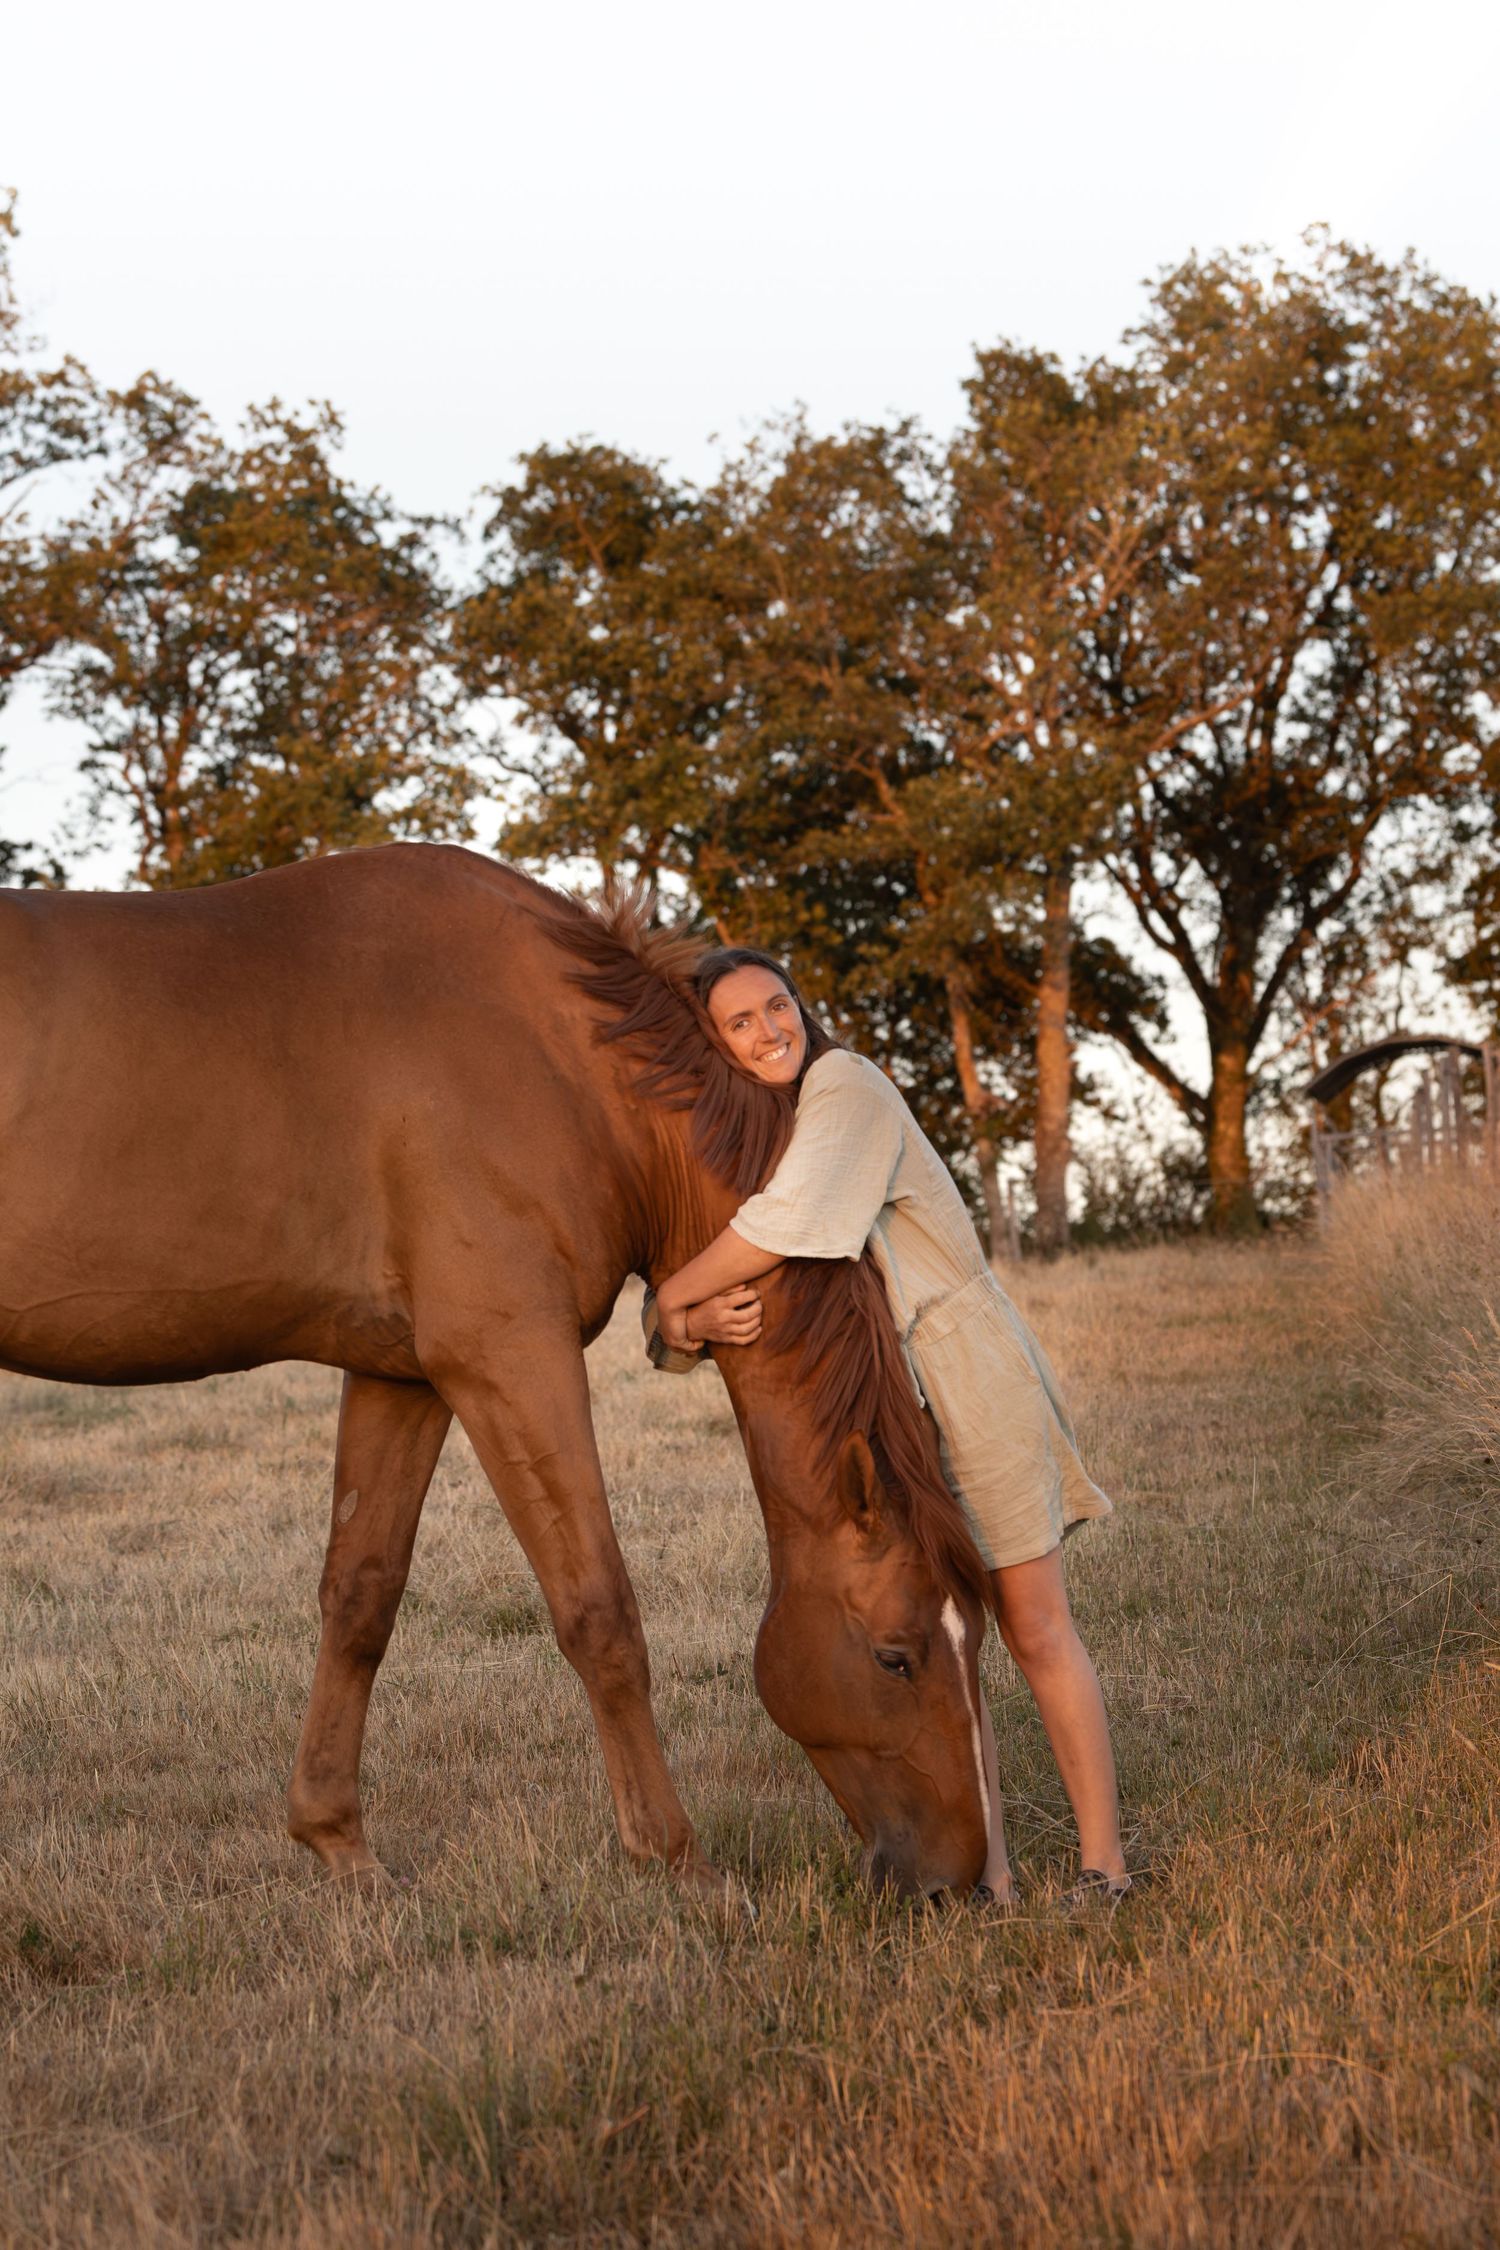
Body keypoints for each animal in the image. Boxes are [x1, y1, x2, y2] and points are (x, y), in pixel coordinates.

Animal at [0, 843, 990, 1899]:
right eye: (896, 1657)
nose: (959, 1881)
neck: (565, 1061)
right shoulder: (509, 1357)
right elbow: (600, 1610)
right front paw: (676, 1857)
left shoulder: (405, 1376)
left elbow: (361, 1597)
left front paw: (338, 1842)